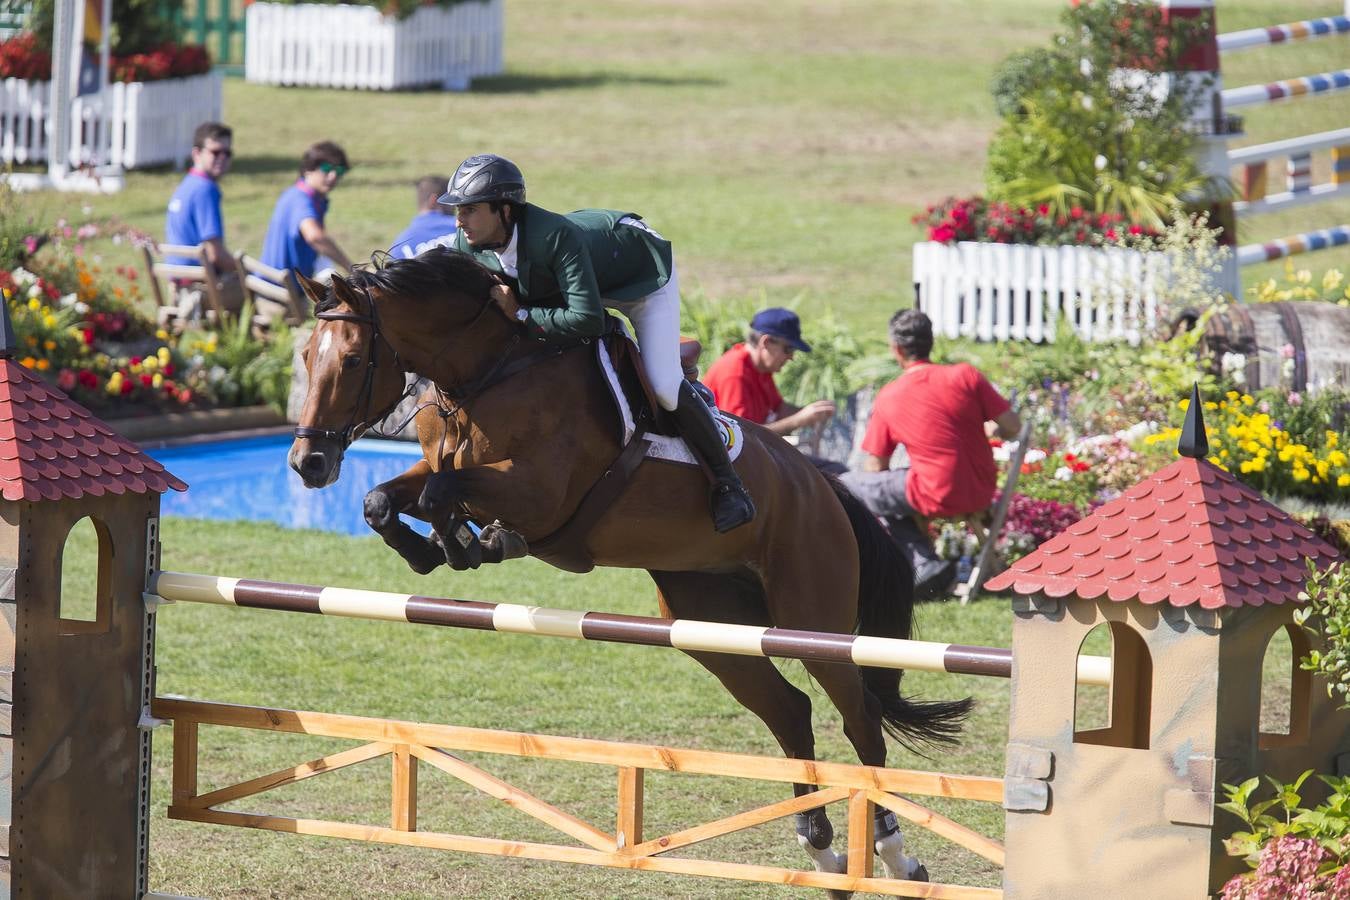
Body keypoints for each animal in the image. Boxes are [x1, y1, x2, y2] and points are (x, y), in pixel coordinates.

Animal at [284, 248, 972, 885]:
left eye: (351, 361)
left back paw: (893, 851)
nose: (307, 464)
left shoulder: (539, 492)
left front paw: (467, 542)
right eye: (305, 358)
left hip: (813, 619)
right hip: (712, 628)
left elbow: (440, 493)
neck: (484, 374)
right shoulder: (443, 464)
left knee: (860, 718)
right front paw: (435, 548)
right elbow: (386, 498)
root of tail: (822, 484)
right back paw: (821, 846)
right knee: (789, 711)